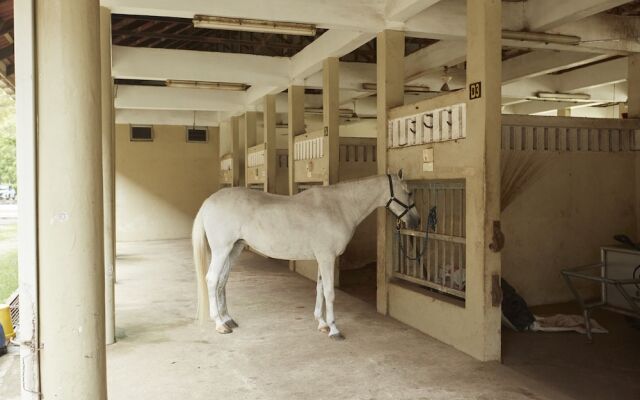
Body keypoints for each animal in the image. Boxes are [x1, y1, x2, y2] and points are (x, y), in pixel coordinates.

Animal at [191, 173, 420, 340]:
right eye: (409, 193)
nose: (416, 221)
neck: (339, 206)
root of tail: (208, 202)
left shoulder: (322, 257)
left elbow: (319, 289)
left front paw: (322, 323)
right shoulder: (327, 257)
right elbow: (329, 292)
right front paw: (334, 330)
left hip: (234, 249)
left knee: (222, 281)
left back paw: (228, 319)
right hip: (221, 250)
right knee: (212, 280)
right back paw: (220, 324)